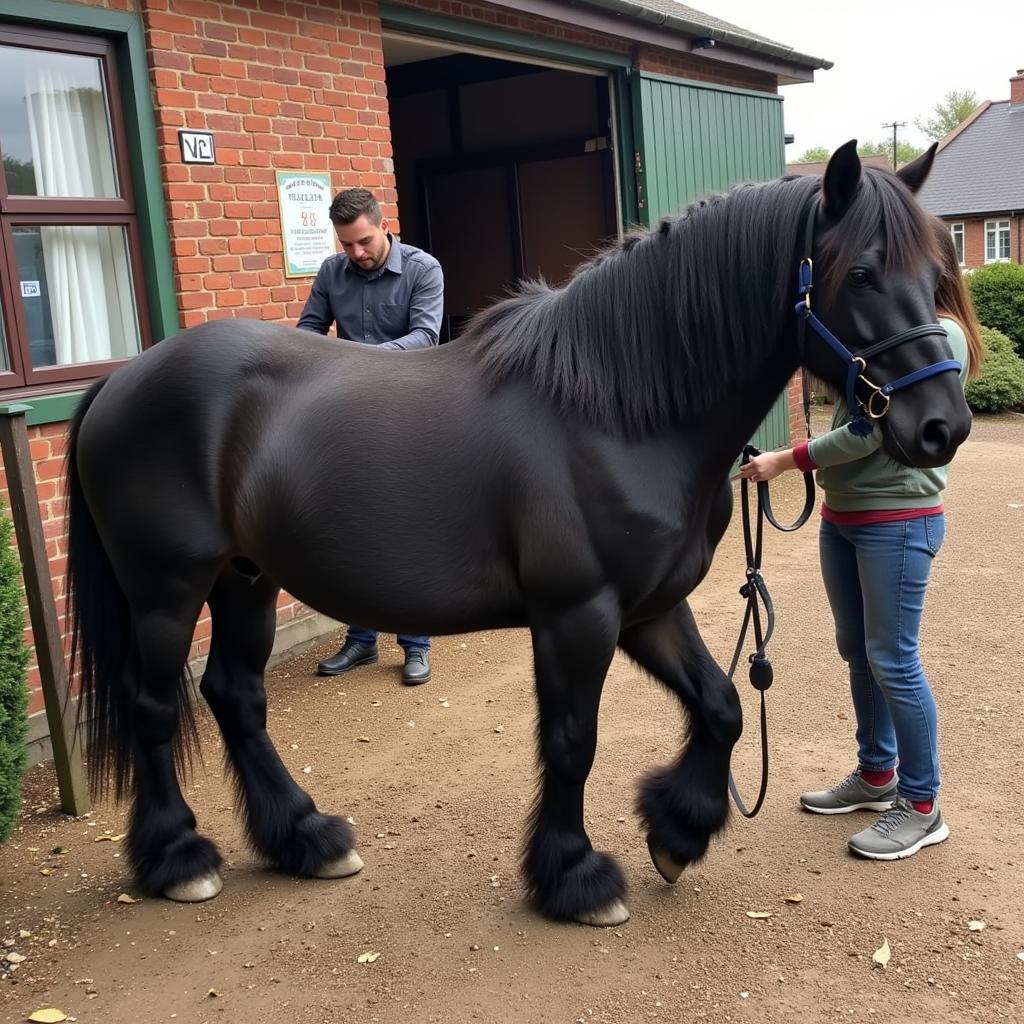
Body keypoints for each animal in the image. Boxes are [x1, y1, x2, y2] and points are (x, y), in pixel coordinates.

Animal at [70, 142, 966, 929]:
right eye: (861, 273)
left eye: (937, 274)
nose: (942, 426)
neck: (616, 411)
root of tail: (121, 379)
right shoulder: (578, 616)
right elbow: (572, 742)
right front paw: (575, 877)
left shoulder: (648, 609)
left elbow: (722, 707)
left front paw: (677, 831)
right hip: (168, 590)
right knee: (154, 703)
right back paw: (179, 858)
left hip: (246, 579)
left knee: (236, 697)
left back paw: (305, 837)